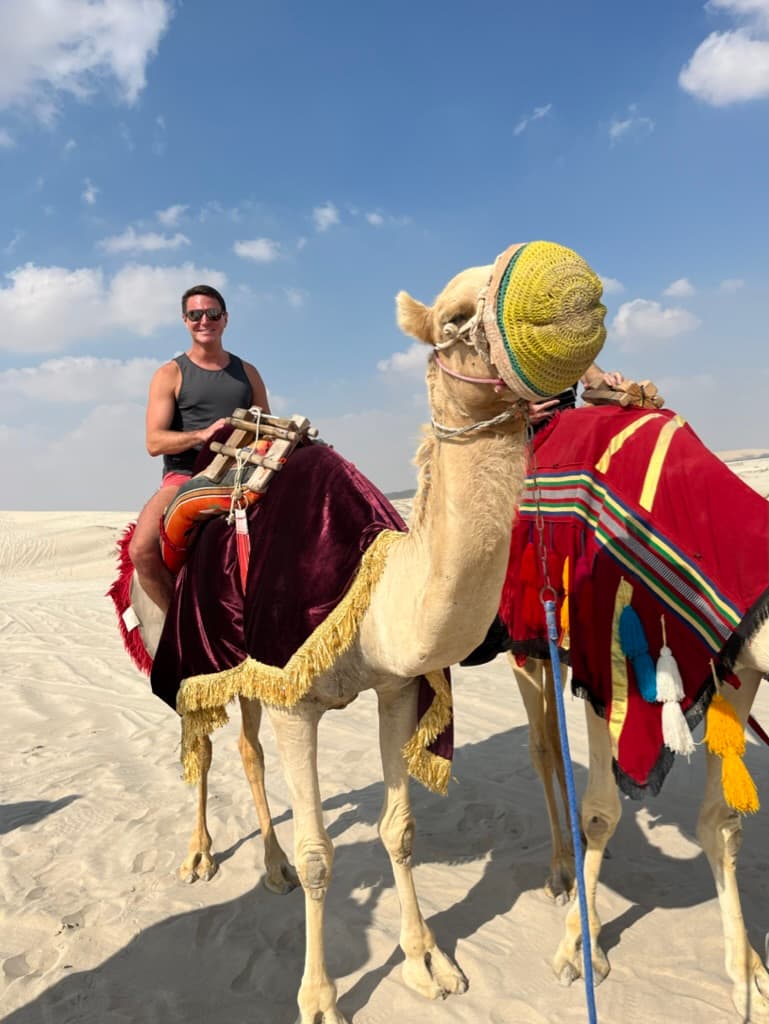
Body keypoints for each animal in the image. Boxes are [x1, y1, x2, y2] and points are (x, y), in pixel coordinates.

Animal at [112, 240, 608, 1023]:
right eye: (455, 317)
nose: (573, 291)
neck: (376, 597)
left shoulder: (395, 685)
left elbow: (397, 831)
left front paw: (426, 962)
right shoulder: (294, 693)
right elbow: (322, 854)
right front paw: (319, 998)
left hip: (237, 661)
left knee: (247, 750)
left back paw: (271, 867)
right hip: (181, 648)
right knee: (207, 745)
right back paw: (201, 854)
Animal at [496, 404, 769, 1021]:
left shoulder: (735, 665)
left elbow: (721, 821)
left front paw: (748, 978)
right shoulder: (608, 657)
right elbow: (601, 809)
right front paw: (579, 949)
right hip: (526, 635)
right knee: (542, 744)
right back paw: (560, 873)